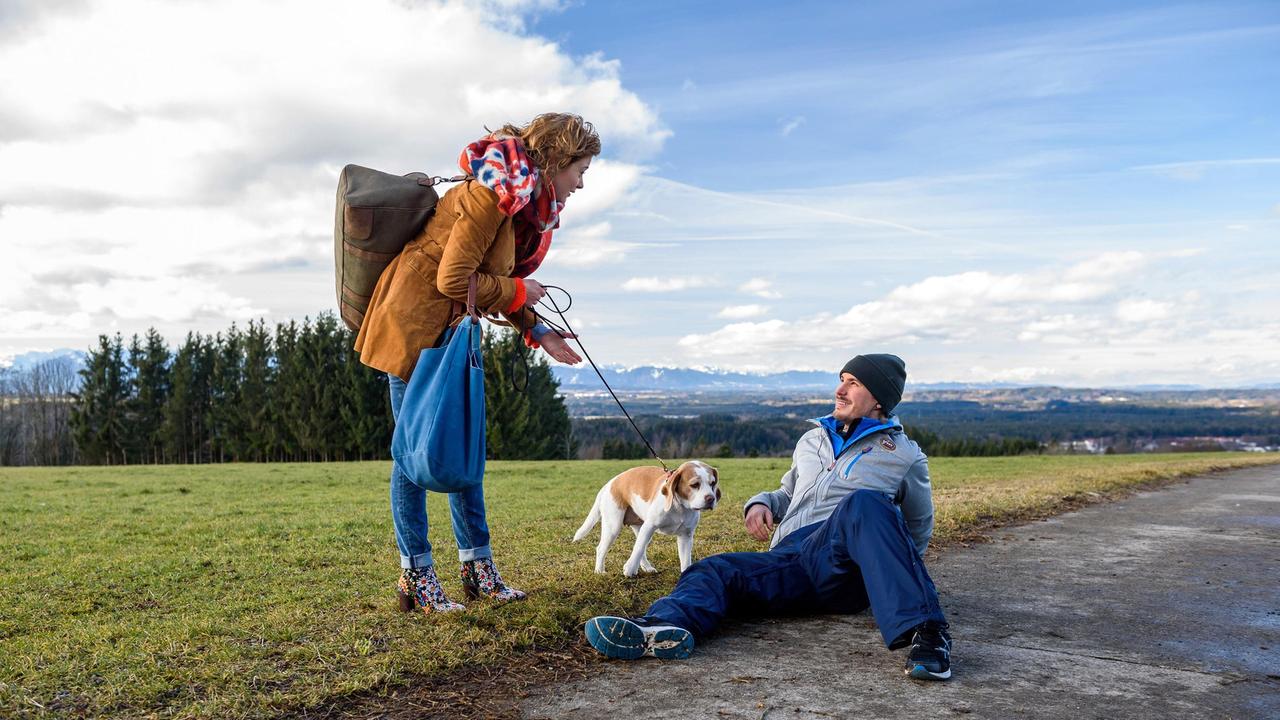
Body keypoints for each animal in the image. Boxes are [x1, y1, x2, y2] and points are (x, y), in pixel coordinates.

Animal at [573, 458, 721, 576]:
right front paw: (630, 569)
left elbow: (685, 560)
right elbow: (637, 549)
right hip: (614, 528)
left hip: (641, 529)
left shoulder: (686, 536)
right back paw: (599, 571)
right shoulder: (650, 526)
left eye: (712, 483)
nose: (711, 499)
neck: (680, 507)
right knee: (602, 549)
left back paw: (647, 567)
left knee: (641, 547)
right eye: (694, 485)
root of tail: (610, 483)